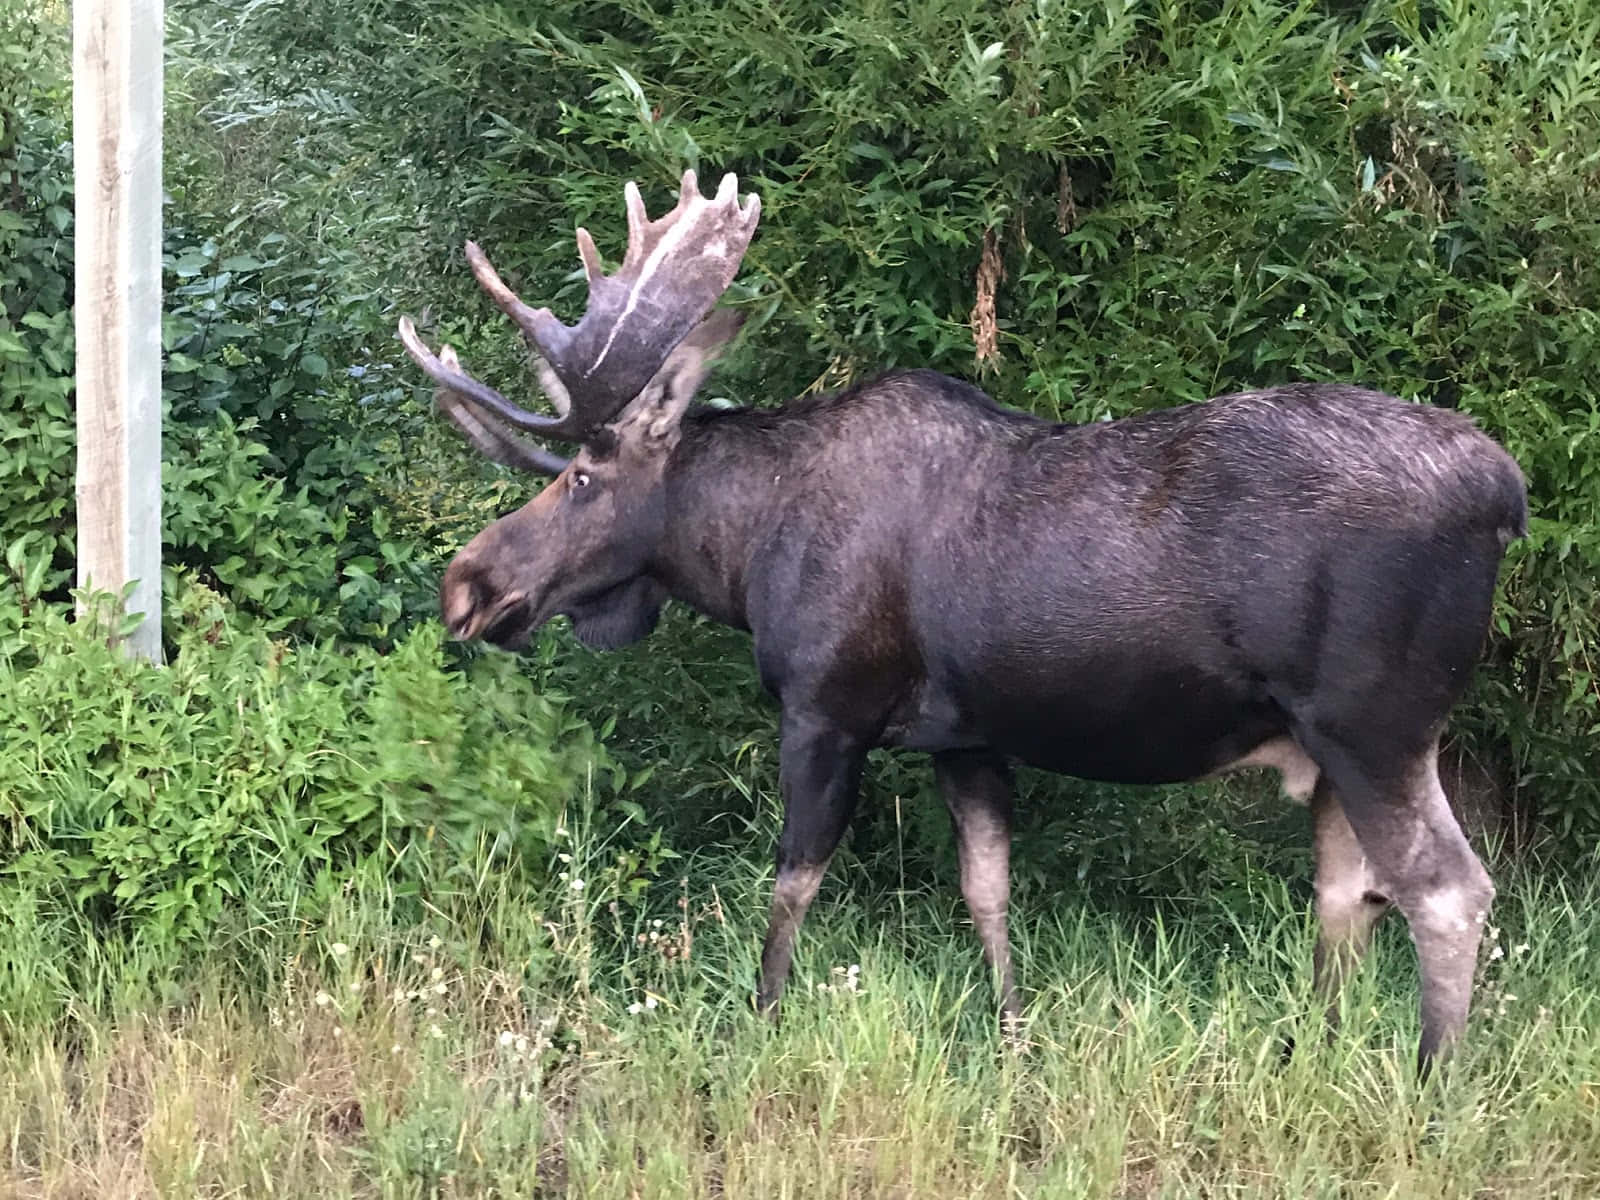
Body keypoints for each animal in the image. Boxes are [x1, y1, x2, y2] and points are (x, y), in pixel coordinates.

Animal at [396, 167, 1523, 1068]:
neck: (744, 553)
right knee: (1347, 894)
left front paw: (758, 1025)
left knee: (1448, 891)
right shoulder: (966, 738)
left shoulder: (826, 708)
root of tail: (1504, 494)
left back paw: (1432, 1084)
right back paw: (1316, 1048)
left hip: (1373, 724)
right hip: (1338, 749)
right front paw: (1014, 1037)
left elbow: (791, 884)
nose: (468, 586)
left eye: (584, 475)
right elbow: (989, 892)